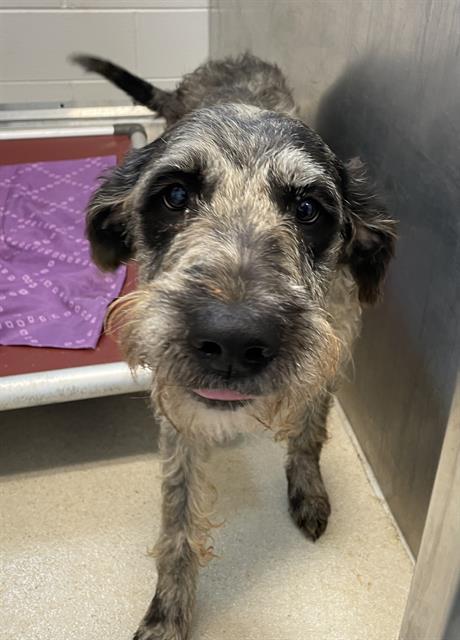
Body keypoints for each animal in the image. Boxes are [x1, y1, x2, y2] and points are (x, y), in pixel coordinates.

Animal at [73, 53, 398, 640]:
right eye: (175, 195)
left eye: (309, 208)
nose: (231, 339)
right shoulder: (176, 410)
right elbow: (178, 517)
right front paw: (168, 611)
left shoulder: (330, 353)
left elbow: (310, 434)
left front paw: (308, 487)